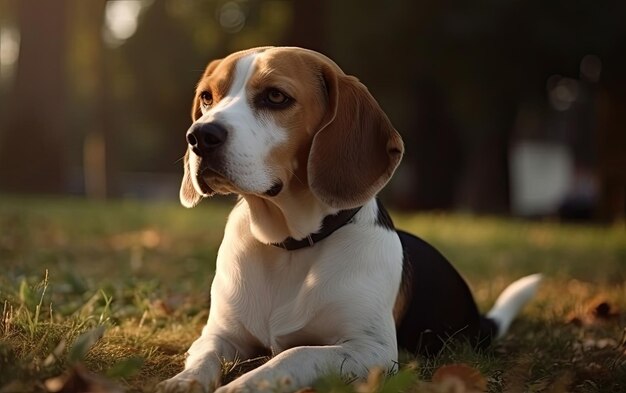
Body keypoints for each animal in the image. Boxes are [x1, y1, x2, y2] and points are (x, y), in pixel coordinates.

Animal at [157, 46, 540, 392]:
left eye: (276, 96)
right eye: (207, 97)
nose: (199, 136)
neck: (289, 245)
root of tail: (480, 320)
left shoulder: (371, 350)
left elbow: (295, 354)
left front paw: (243, 386)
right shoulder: (219, 334)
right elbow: (204, 357)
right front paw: (181, 382)